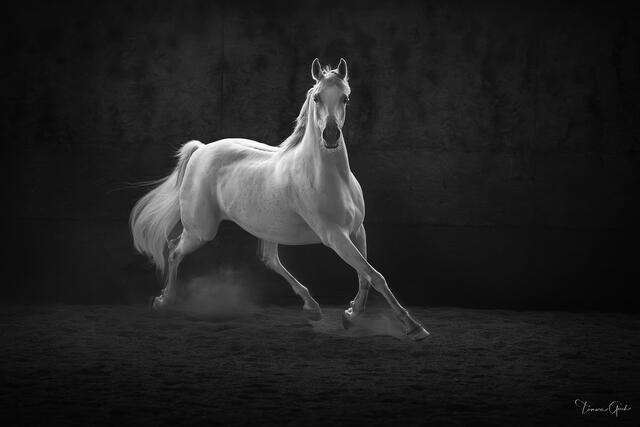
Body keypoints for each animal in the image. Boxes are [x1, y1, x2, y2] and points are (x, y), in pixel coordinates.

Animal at [130, 58, 429, 340]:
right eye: (317, 97)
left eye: (345, 97)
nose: (331, 136)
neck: (330, 178)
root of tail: (201, 150)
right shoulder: (335, 236)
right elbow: (375, 275)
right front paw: (414, 327)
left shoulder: (357, 230)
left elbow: (365, 276)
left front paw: (350, 316)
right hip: (200, 231)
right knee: (174, 250)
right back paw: (163, 301)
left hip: (265, 229)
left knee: (269, 259)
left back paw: (313, 308)